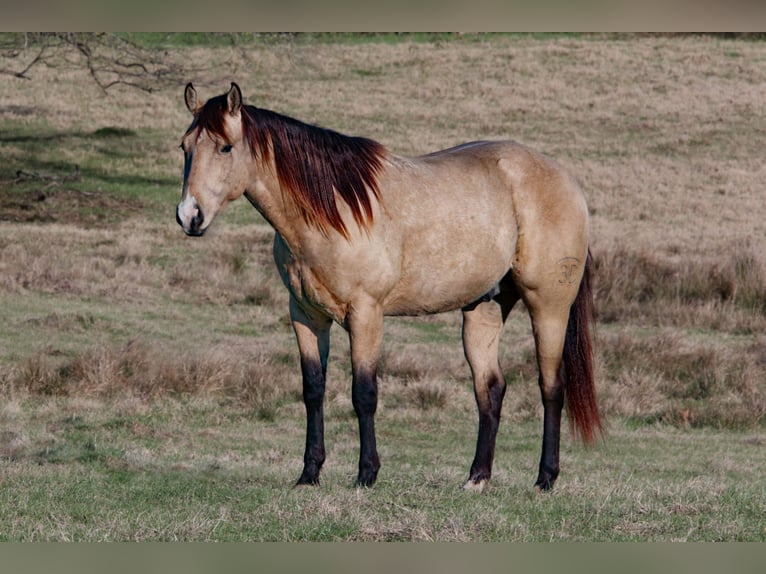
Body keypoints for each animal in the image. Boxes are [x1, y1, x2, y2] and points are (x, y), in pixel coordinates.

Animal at [177, 82, 604, 496]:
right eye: (185, 147)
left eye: (226, 147)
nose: (189, 216)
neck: (334, 211)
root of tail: (567, 181)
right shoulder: (305, 315)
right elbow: (313, 390)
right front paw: (309, 474)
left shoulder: (366, 313)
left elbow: (364, 393)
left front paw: (366, 474)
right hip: (484, 308)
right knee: (491, 389)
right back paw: (477, 478)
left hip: (548, 307)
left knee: (551, 387)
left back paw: (545, 479)